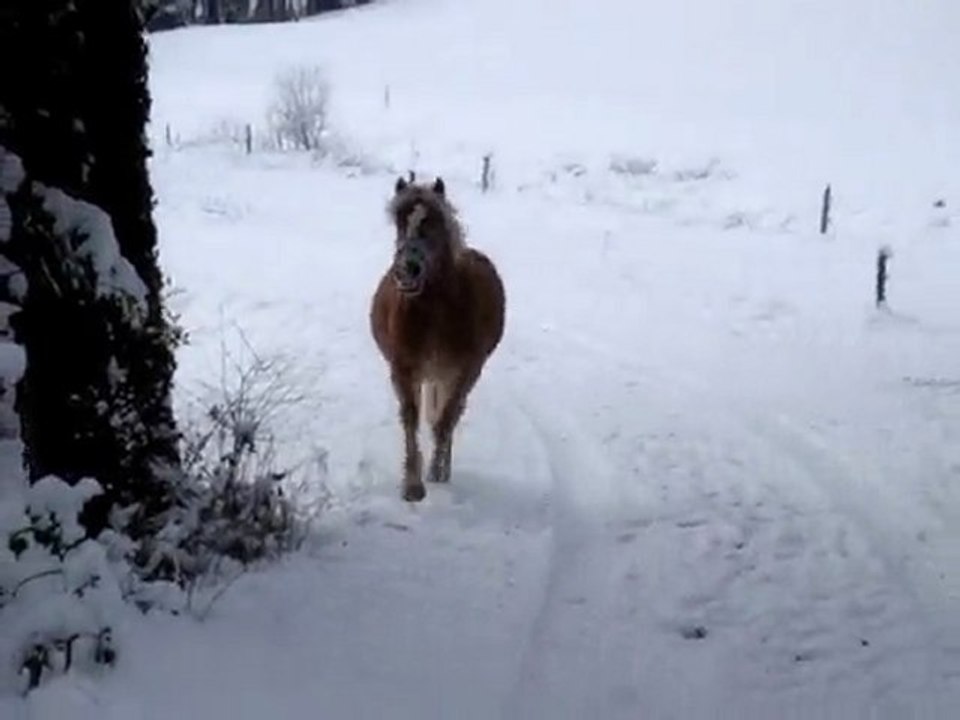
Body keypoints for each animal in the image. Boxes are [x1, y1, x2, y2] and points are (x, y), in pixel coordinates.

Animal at [369, 175, 506, 501]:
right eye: (399, 221)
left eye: (432, 222)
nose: (408, 270)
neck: (434, 314)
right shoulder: (403, 369)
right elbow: (411, 418)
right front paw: (412, 486)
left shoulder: (465, 371)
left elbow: (445, 421)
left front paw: (435, 472)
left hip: (455, 376)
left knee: (450, 416)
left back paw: (442, 468)